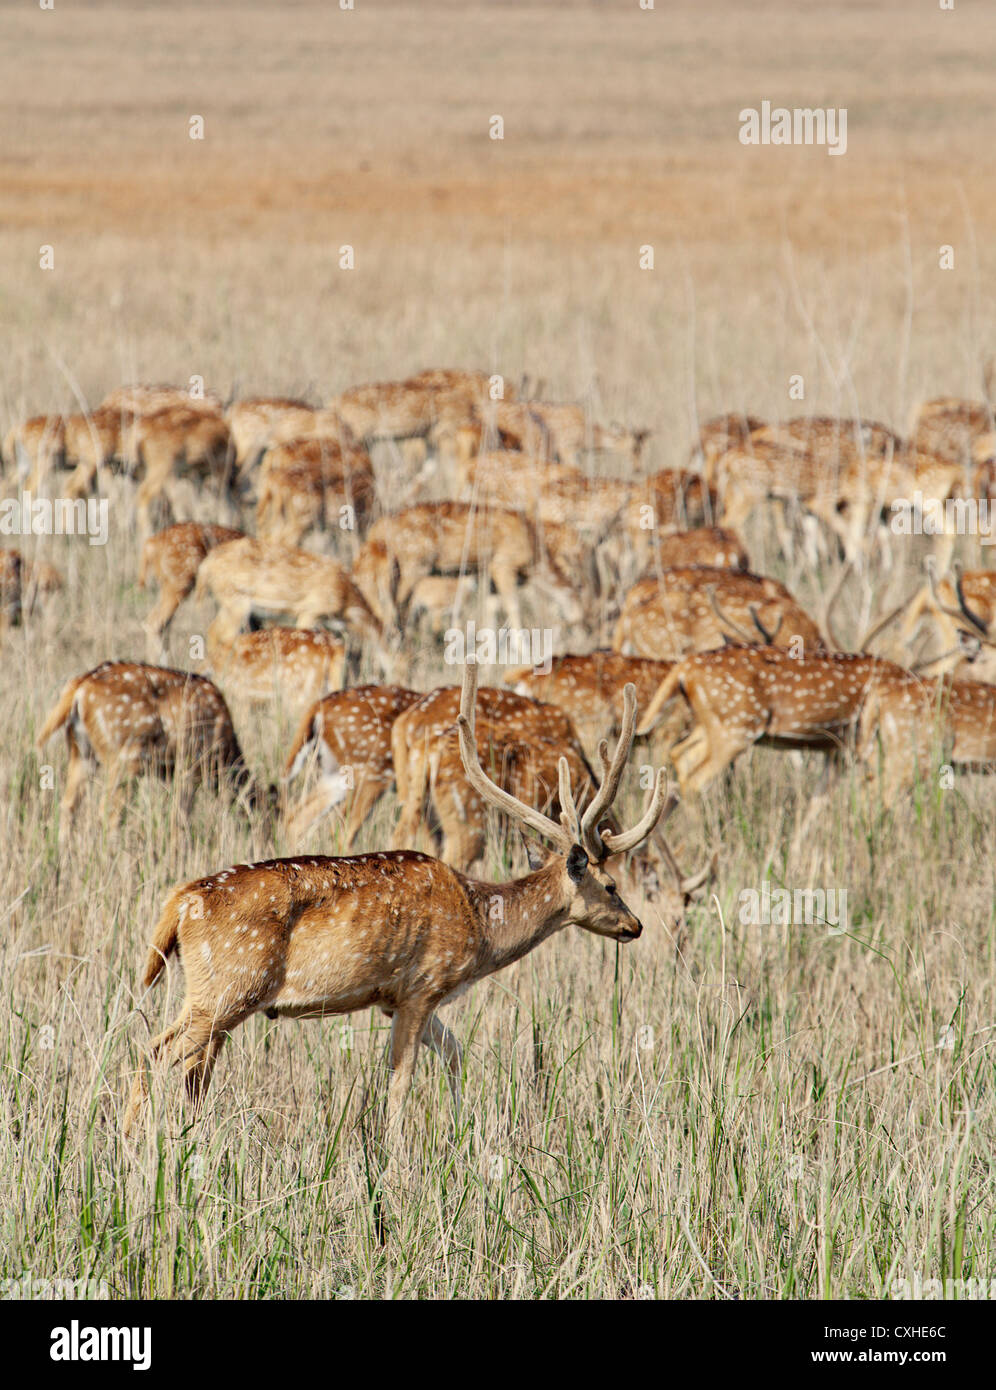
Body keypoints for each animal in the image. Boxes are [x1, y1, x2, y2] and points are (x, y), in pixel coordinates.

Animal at [36, 656, 269, 828]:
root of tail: (79, 687)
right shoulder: (191, 765)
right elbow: (180, 818)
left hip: (81, 750)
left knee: (68, 806)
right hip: (124, 757)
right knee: (109, 812)